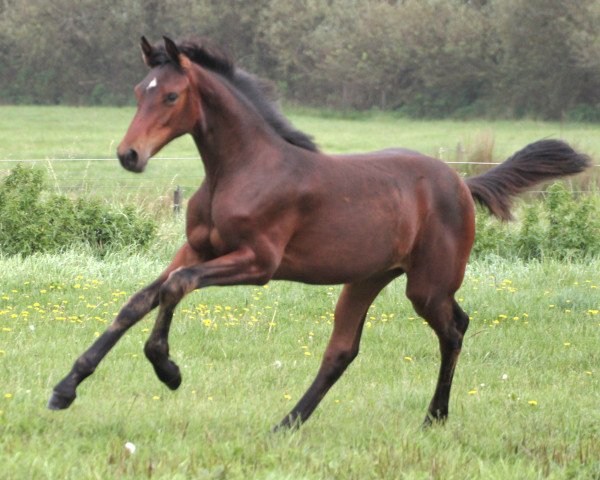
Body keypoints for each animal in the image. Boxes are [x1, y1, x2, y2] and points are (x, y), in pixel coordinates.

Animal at [48, 35, 592, 430]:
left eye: (171, 95)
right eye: (139, 92)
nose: (129, 155)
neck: (241, 169)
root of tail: (462, 182)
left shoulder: (258, 262)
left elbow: (174, 288)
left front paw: (167, 369)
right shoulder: (196, 248)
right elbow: (141, 299)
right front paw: (65, 387)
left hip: (427, 286)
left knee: (455, 328)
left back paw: (433, 418)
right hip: (367, 279)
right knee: (343, 350)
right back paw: (287, 423)